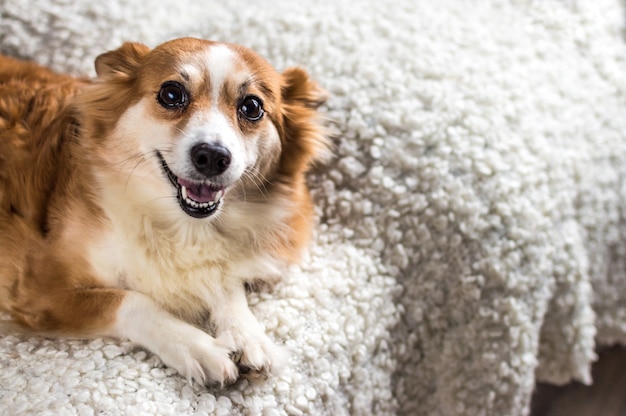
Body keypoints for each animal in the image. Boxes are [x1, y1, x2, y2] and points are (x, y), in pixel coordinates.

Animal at [0, 37, 330, 386]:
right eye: (171, 94)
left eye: (252, 107)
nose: (212, 156)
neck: (178, 224)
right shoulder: (39, 290)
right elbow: (129, 300)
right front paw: (199, 347)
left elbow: (225, 281)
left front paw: (248, 334)